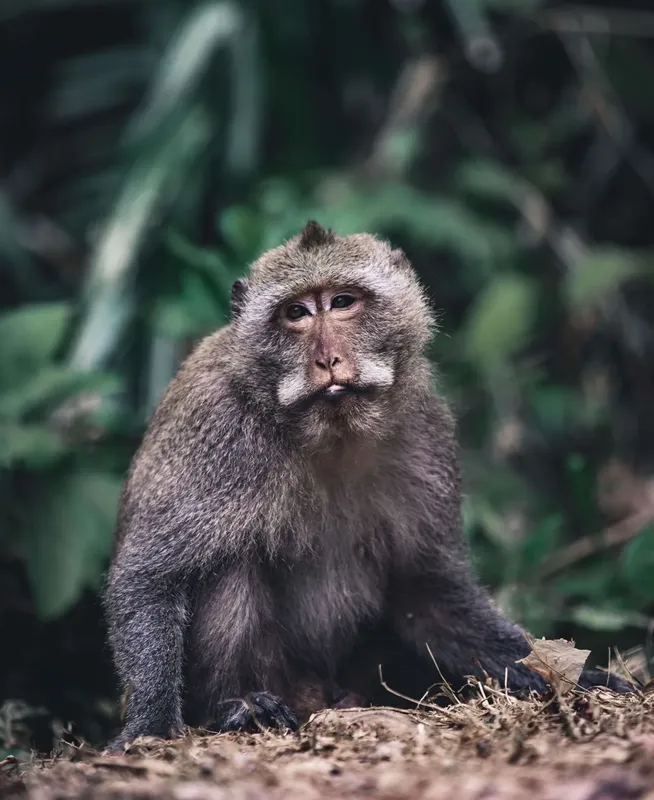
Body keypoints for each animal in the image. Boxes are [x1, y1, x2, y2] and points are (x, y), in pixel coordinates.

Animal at [103, 221, 633, 752]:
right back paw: (239, 707)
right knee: (232, 563)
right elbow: (150, 578)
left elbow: (429, 593)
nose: (328, 359)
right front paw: (150, 722)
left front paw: (566, 673)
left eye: (342, 302)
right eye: (296, 313)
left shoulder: (425, 426)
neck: (328, 432)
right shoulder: (217, 432)